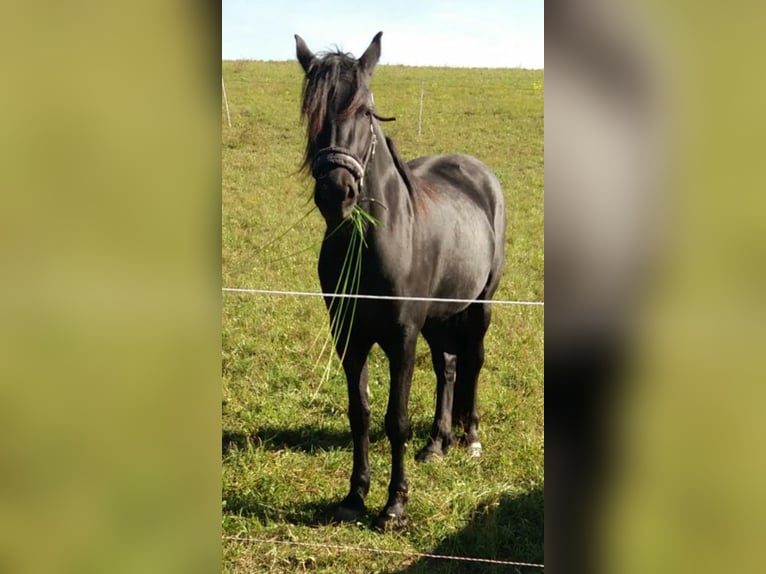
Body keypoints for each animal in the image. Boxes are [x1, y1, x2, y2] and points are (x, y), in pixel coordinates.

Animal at [296, 30, 508, 528]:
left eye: (364, 111)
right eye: (311, 112)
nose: (336, 191)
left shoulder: (402, 336)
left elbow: (396, 420)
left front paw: (395, 505)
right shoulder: (349, 337)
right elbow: (360, 413)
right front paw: (355, 496)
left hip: (479, 307)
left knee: (473, 361)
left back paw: (469, 438)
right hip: (438, 316)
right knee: (448, 367)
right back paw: (436, 443)